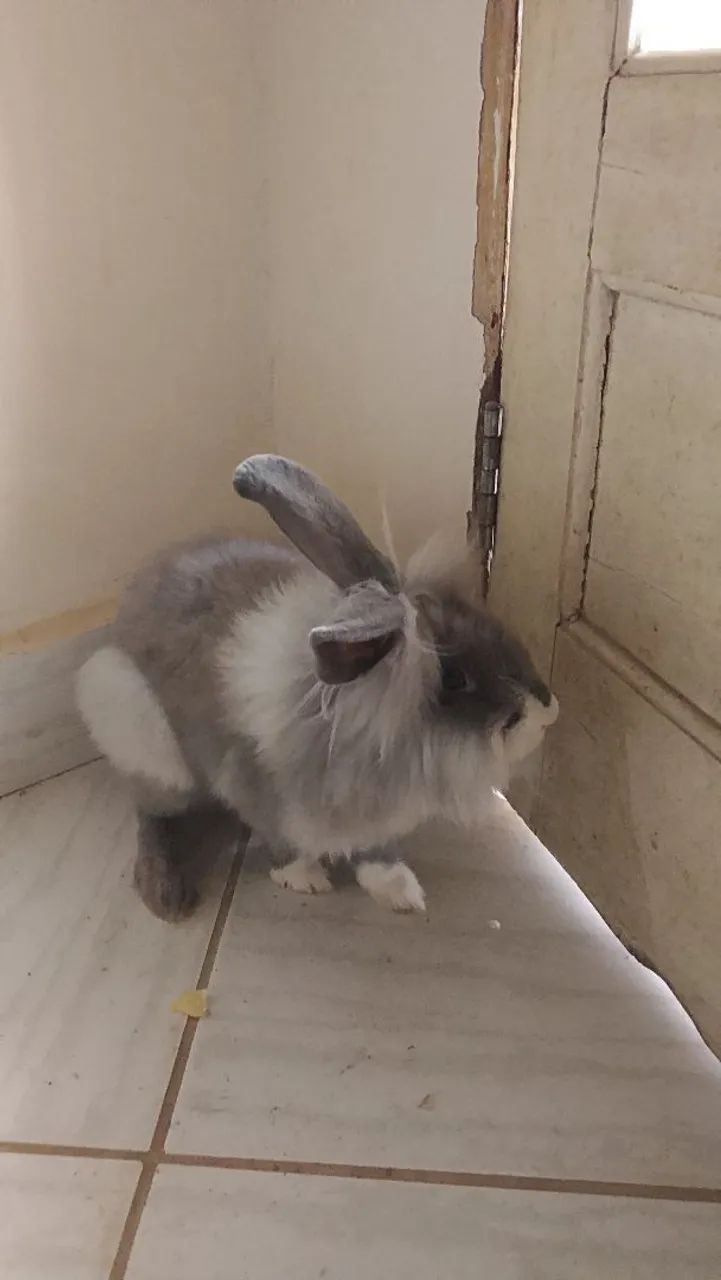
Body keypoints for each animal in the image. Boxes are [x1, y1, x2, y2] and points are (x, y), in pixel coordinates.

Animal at [76, 454, 558, 921]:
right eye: (455, 679)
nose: (547, 713)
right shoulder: (257, 792)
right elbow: (285, 844)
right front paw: (306, 880)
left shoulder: (372, 818)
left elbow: (375, 852)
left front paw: (399, 891)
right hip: (147, 742)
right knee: (151, 815)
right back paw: (167, 893)